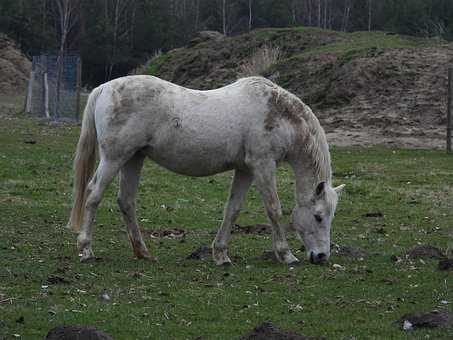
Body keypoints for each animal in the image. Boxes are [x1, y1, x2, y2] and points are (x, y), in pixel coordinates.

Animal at [66, 75, 342, 266]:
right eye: (318, 216)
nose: (321, 256)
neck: (278, 113)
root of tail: (104, 88)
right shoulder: (263, 165)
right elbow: (274, 209)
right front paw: (286, 255)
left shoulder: (246, 170)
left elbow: (232, 209)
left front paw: (221, 255)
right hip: (114, 158)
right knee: (93, 195)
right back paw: (86, 249)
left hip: (134, 158)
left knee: (126, 201)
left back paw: (143, 252)